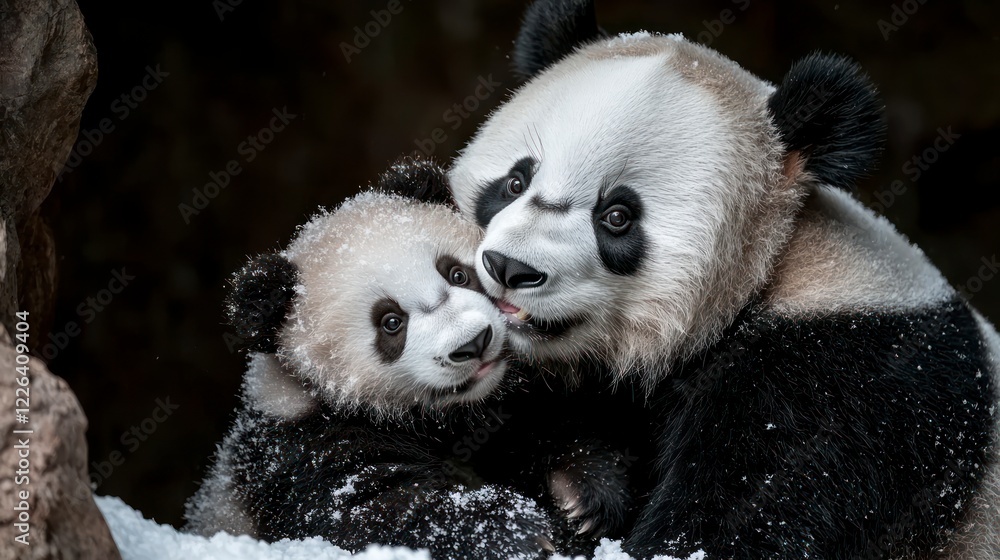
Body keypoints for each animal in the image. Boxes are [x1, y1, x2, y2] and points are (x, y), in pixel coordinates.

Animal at [183, 158, 634, 559]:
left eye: (457, 274)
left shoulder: (495, 403)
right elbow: (372, 505)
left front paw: (581, 495)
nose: (474, 343)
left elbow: (539, 425)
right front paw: (514, 531)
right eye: (391, 323)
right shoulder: (300, 447)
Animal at [447, 1, 1000, 558]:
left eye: (618, 216)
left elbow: (756, 511)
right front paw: (579, 485)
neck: (770, 263)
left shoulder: (850, 373)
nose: (509, 268)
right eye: (515, 182)